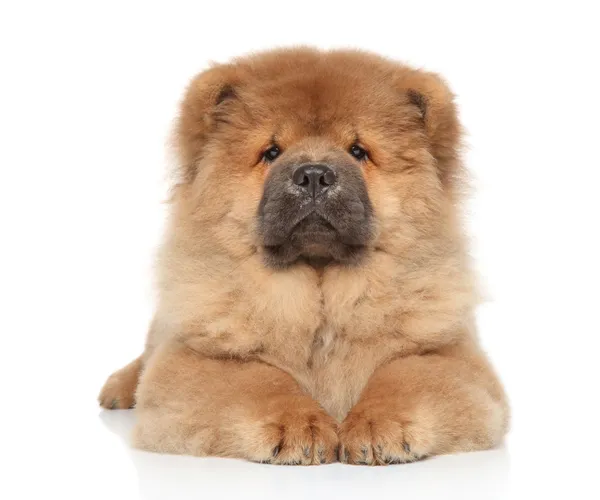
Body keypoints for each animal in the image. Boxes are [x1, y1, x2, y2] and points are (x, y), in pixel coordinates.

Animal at [99, 47, 510, 464]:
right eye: (271, 152)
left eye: (358, 151)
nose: (314, 174)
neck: (321, 297)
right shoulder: (193, 358)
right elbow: (259, 379)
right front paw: (299, 426)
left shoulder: (451, 354)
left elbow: (403, 375)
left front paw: (378, 426)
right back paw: (118, 389)